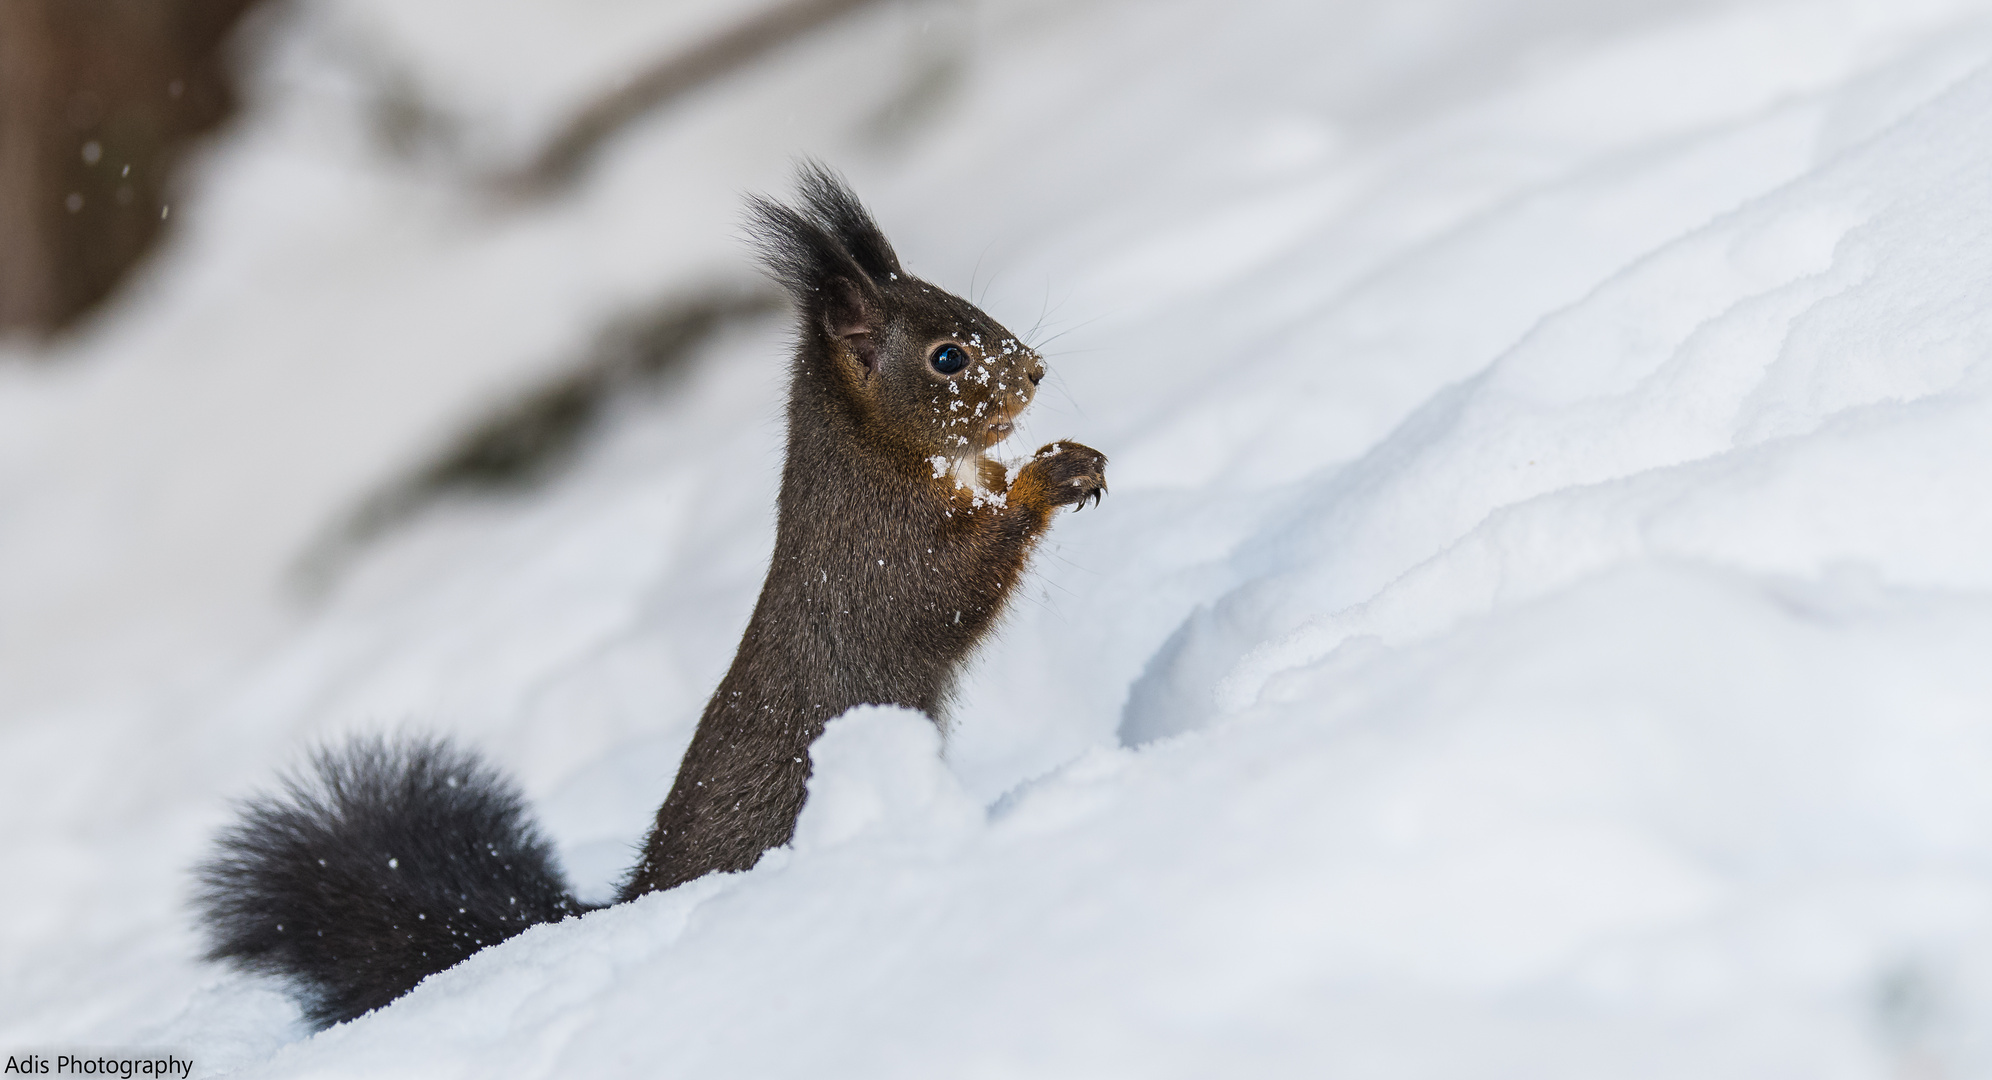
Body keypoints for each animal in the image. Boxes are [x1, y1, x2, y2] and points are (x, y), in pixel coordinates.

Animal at [194, 163, 1115, 1036]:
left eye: (967, 307)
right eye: (947, 357)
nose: (1035, 371)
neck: (880, 456)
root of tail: (634, 895)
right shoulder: (883, 561)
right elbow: (956, 588)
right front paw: (1047, 478)